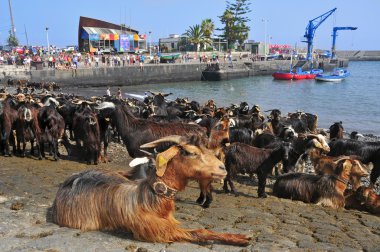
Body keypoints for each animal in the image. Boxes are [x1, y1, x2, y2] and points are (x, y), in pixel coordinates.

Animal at [52, 136, 251, 246]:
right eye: (190, 152)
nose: (222, 168)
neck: (152, 198)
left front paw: (240, 236)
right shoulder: (159, 232)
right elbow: (201, 231)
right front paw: (241, 238)